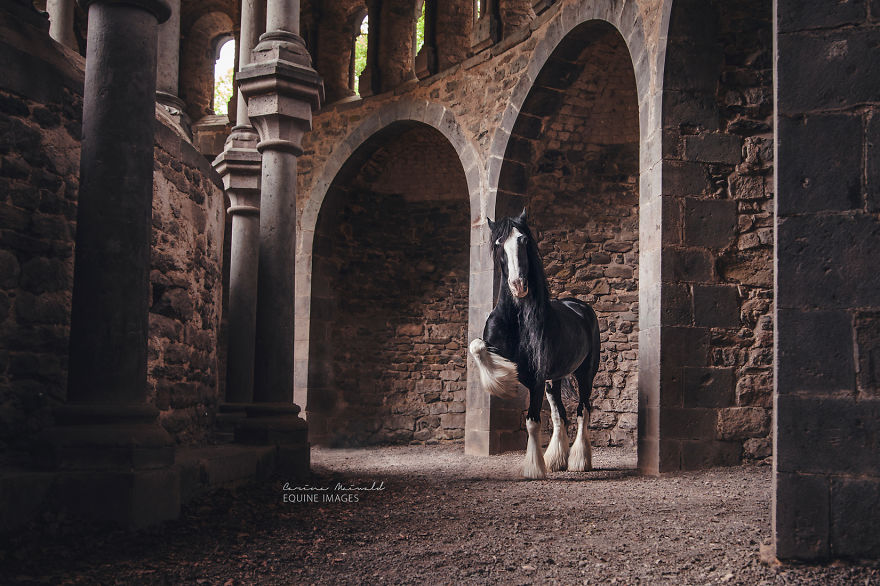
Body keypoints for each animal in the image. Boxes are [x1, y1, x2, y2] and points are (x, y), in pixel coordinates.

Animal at [468, 209, 601, 479]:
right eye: (499, 243)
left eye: (524, 240)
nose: (519, 285)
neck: (516, 318)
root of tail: (580, 306)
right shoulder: (493, 347)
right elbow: (476, 346)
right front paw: (502, 379)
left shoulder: (538, 378)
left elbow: (532, 421)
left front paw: (533, 468)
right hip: (554, 380)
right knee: (560, 415)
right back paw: (556, 460)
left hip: (585, 374)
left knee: (583, 411)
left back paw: (579, 461)